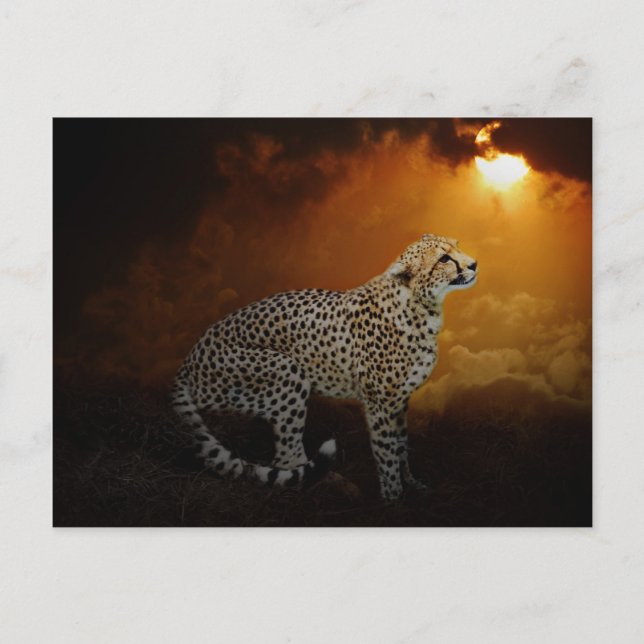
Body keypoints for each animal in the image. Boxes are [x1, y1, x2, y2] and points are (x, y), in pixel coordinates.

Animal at [172, 233, 478, 500]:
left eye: (457, 245)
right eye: (444, 259)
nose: (474, 264)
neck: (421, 305)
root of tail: (188, 360)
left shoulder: (400, 401)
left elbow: (401, 446)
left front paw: (413, 485)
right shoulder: (379, 404)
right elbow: (387, 453)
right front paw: (394, 501)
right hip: (286, 371)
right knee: (286, 458)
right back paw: (336, 484)